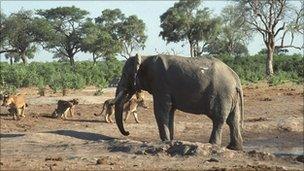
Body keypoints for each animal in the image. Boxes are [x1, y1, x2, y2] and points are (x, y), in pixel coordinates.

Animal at [114, 54, 245, 150]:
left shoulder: (161, 84)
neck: (146, 56)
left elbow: (161, 111)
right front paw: (170, 141)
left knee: (219, 119)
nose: (128, 132)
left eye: (125, 74)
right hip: (231, 96)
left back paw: (213, 145)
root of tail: (236, 78)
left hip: (222, 94)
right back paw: (234, 147)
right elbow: (170, 111)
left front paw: (165, 140)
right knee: (233, 119)